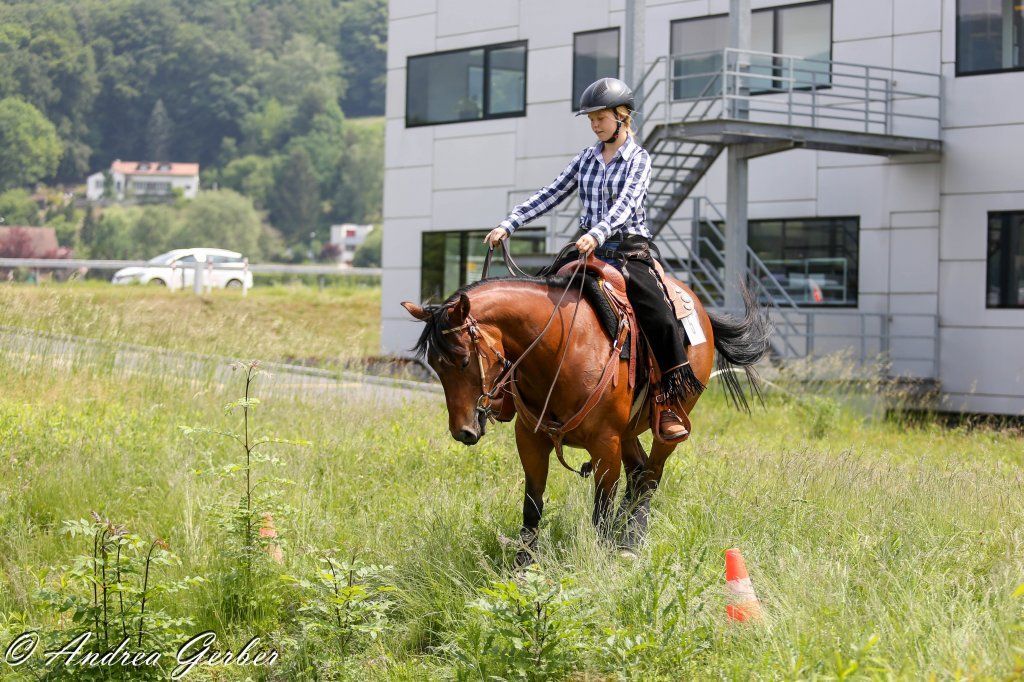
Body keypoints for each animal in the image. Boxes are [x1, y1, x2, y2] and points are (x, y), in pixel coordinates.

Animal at [401, 260, 771, 565]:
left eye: (463, 360)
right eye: (434, 364)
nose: (463, 431)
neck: (560, 348)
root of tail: (700, 310)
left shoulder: (604, 444)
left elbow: (600, 512)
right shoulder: (531, 439)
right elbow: (532, 506)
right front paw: (522, 569)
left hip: (666, 426)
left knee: (650, 478)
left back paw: (630, 543)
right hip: (627, 432)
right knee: (638, 473)